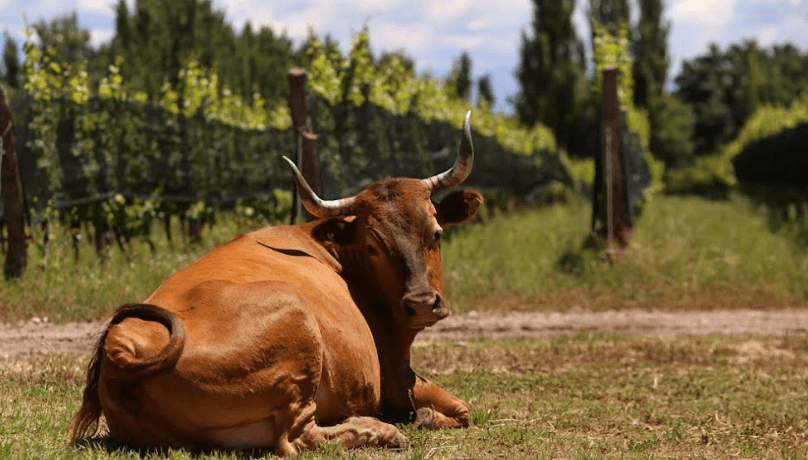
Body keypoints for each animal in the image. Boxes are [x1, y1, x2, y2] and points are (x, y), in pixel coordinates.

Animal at [72, 110, 482, 452]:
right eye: (373, 245)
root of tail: (123, 346)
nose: (422, 303)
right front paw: (424, 416)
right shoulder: (397, 378)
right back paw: (383, 431)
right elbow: (463, 410)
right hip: (299, 333)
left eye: (436, 233)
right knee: (299, 437)